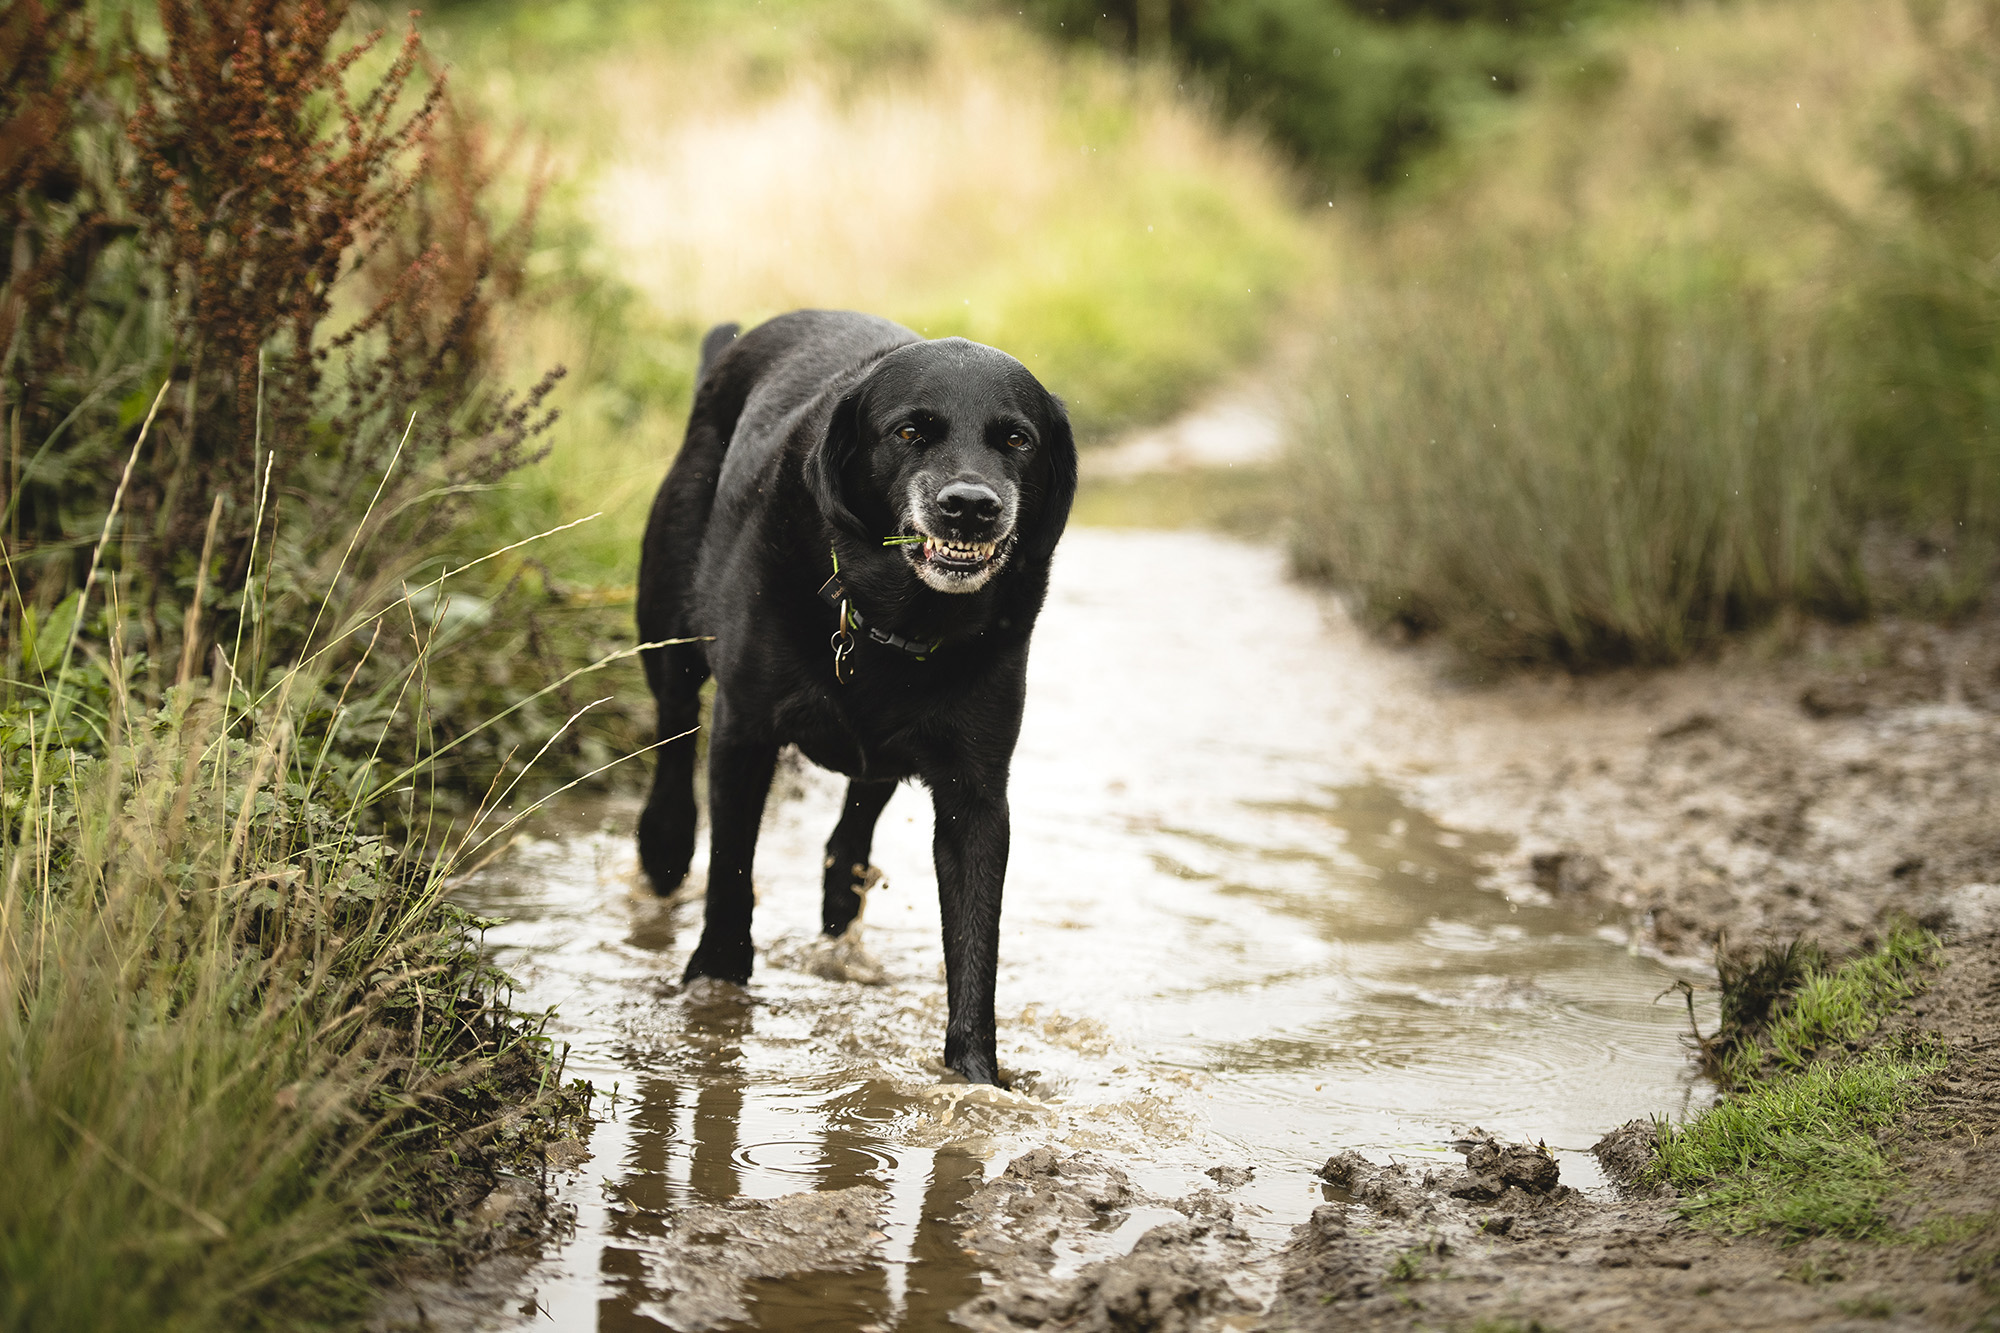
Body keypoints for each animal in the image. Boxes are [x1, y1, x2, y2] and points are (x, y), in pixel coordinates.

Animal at [636, 308, 1080, 1080]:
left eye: (1017, 439)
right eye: (909, 432)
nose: (971, 507)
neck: (897, 615)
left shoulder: (975, 793)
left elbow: (975, 946)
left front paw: (975, 1079)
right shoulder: (745, 733)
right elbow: (732, 870)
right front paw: (715, 991)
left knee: (862, 803)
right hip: (669, 630)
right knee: (674, 724)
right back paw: (664, 843)